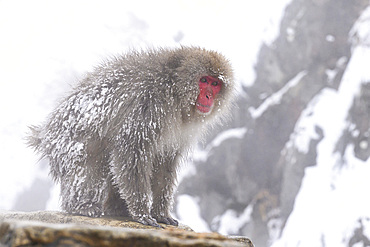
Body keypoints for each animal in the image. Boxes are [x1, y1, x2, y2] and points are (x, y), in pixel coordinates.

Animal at [27, 46, 234, 228]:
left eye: (215, 83)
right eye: (204, 80)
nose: (208, 96)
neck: (173, 91)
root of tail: (45, 134)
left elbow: (164, 162)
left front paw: (161, 213)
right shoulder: (146, 106)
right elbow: (131, 153)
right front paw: (142, 213)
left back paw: (116, 208)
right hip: (68, 143)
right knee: (89, 164)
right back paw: (82, 206)